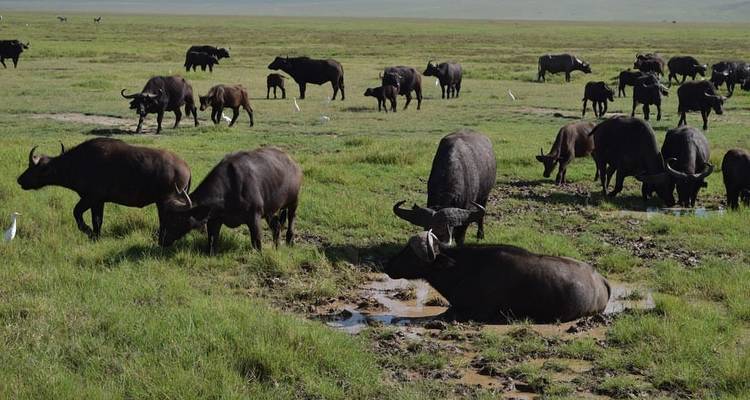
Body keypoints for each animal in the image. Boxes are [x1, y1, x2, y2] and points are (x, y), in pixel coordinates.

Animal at [17, 138, 191, 240]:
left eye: (35, 167)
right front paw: (96, 236)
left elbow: (78, 213)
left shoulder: (91, 198)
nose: (19, 179)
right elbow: (98, 221)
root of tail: (185, 166)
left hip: (164, 203)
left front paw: (88, 232)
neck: (77, 162)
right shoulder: (99, 202)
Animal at [159, 147, 302, 254]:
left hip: (293, 201)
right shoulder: (214, 220)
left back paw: (290, 240)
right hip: (269, 211)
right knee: (276, 226)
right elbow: (212, 240)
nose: (161, 241)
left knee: (291, 218)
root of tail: (293, 163)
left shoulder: (254, 217)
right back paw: (276, 247)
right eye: (164, 217)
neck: (230, 189)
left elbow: (256, 241)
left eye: (176, 219)